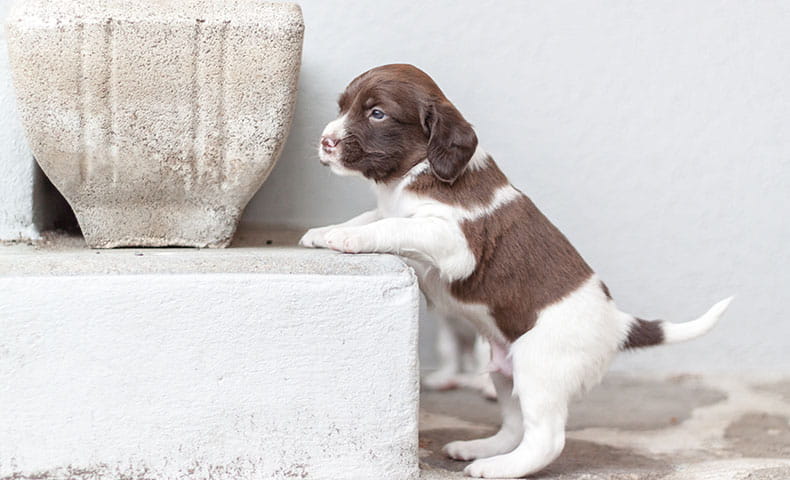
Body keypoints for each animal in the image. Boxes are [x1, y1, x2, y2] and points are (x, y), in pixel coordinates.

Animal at [300, 64, 732, 480]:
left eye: (377, 113)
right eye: (342, 107)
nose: (325, 142)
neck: (415, 172)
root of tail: (619, 323)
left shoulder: (455, 242)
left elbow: (391, 225)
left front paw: (347, 237)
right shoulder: (397, 211)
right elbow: (372, 215)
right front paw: (325, 231)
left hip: (539, 365)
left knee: (546, 439)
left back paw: (497, 468)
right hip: (504, 367)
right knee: (514, 426)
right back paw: (480, 449)